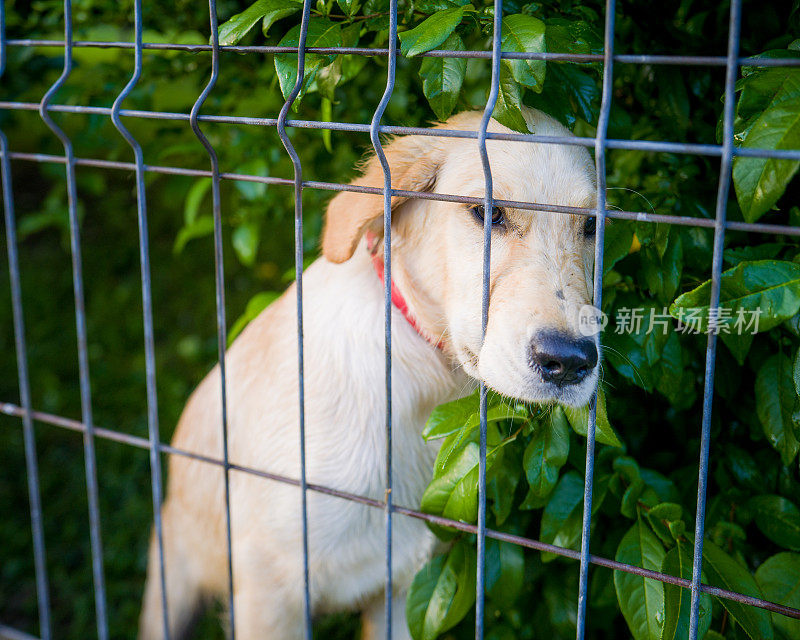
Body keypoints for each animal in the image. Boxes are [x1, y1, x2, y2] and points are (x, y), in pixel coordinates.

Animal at [139, 107, 600, 636]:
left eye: (592, 226)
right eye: (486, 213)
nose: (570, 361)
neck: (419, 383)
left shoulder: (402, 591)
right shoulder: (268, 593)